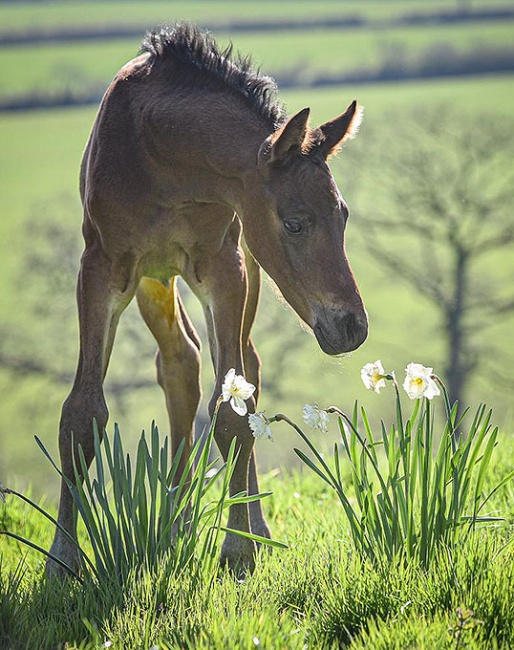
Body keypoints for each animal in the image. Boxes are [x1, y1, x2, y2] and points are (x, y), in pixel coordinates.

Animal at [47, 22, 368, 577]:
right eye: (295, 222)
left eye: (343, 215)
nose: (352, 327)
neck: (159, 151)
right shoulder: (101, 268)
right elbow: (82, 411)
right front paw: (63, 561)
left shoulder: (225, 266)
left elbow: (234, 410)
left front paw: (239, 549)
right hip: (154, 278)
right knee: (180, 361)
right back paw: (175, 521)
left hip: (247, 273)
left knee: (242, 368)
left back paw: (250, 523)